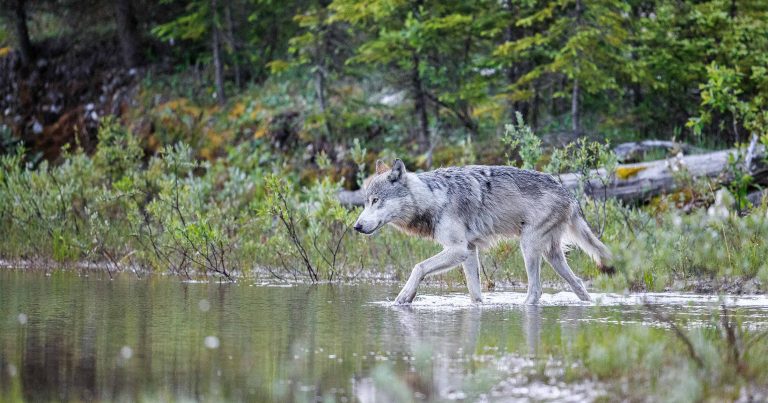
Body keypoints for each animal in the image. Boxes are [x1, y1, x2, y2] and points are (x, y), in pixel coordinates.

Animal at [353, 159, 612, 305]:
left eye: (376, 201)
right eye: (365, 202)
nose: (356, 226)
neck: (435, 198)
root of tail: (569, 194)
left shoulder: (457, 250)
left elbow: (419, 267)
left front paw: (404, 298)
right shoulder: (469, 251)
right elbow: (474, 293)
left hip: (528, 247)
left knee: (536, 290)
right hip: (551, 256)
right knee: (578, 284)